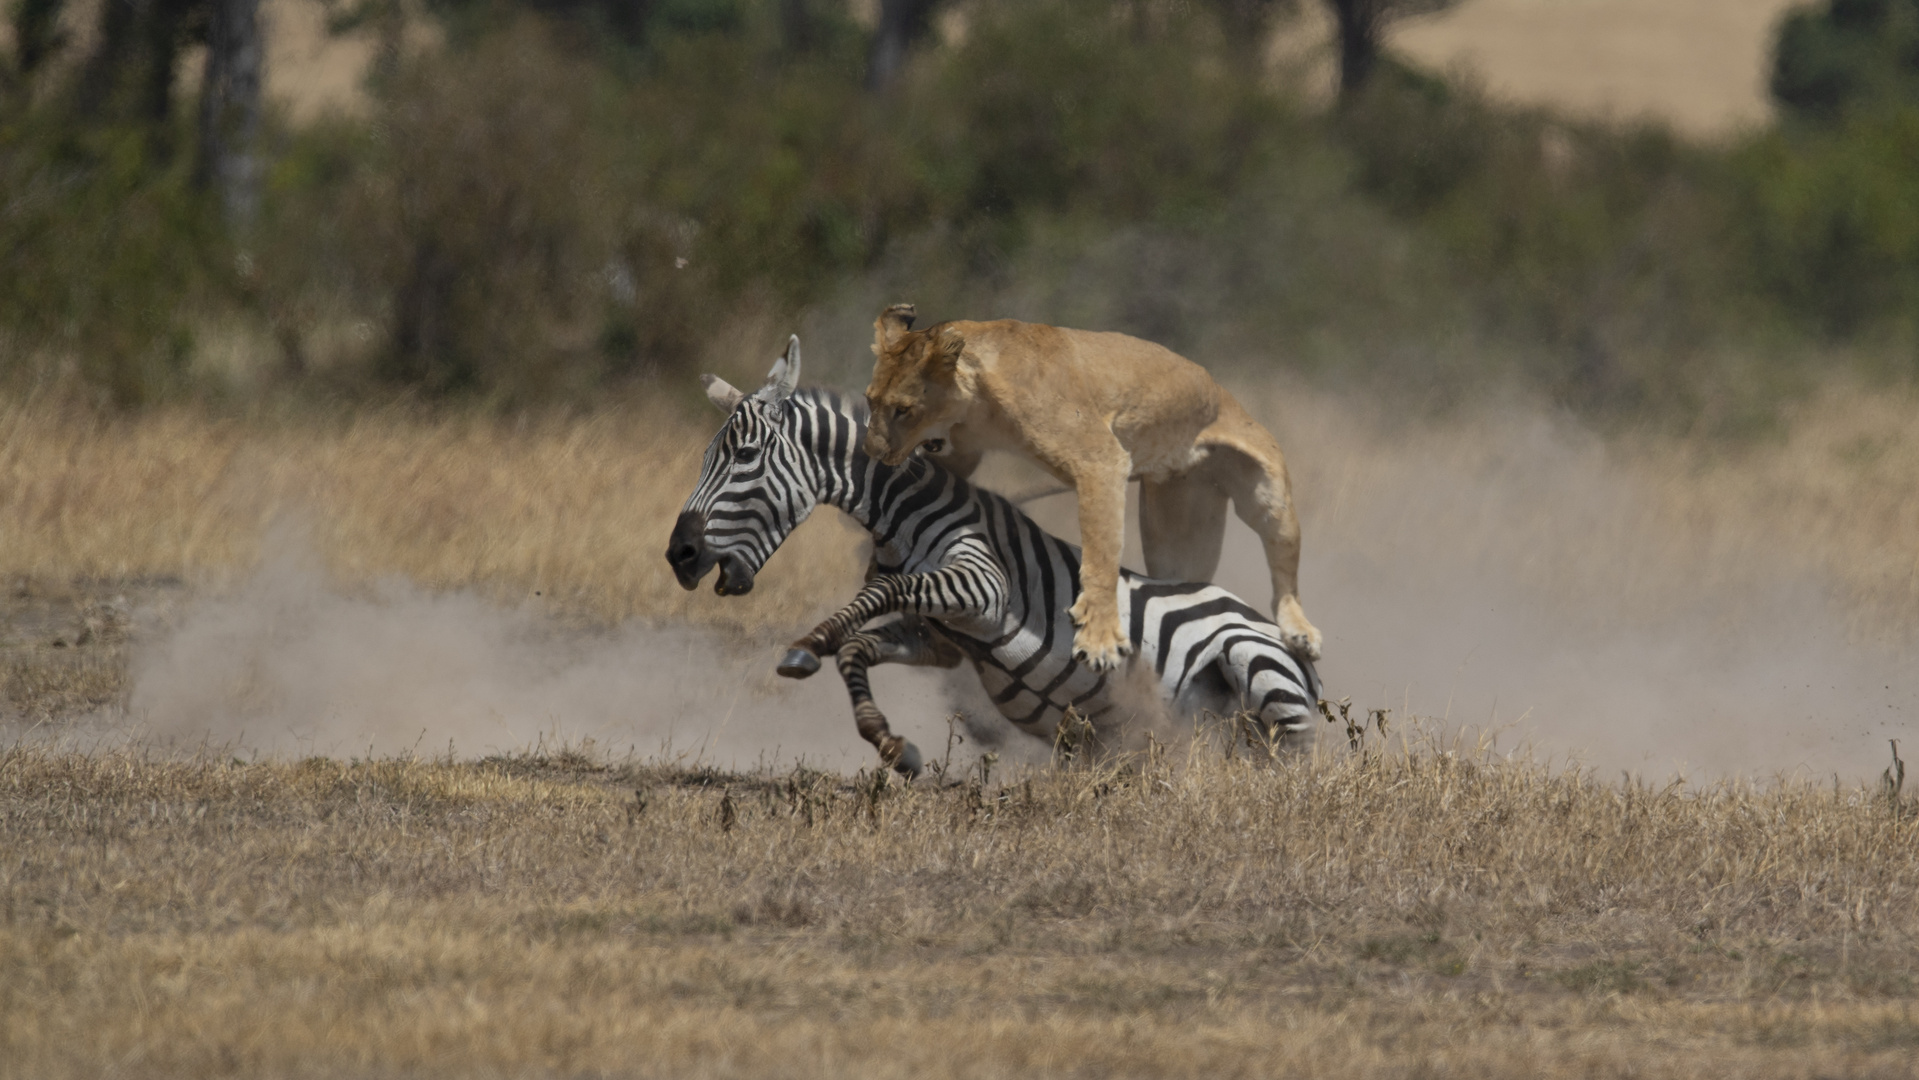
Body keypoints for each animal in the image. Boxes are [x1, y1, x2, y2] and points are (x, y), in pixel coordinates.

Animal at [663, 337, 1320, 778]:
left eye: (744, 455)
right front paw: (893, 744)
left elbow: (877, 596)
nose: (680, 555)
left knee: (1293, 762)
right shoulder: (939, 639)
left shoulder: (983, 586)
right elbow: (860, 647)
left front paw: (807, 645)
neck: (905, 516)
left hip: (1256, 666)